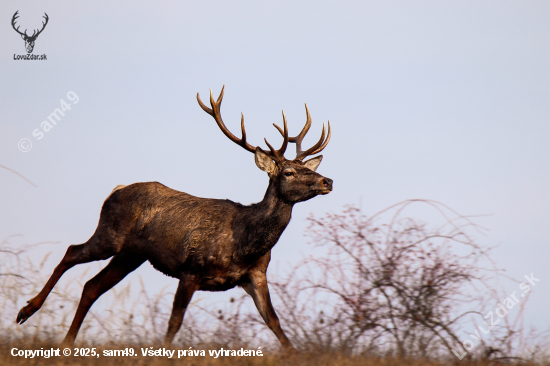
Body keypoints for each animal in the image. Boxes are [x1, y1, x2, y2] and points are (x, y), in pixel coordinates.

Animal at [17, 86, 334, 348]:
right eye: (288, 172)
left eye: (308, 168)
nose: (327, 180)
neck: (244, 243)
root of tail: (116, 190)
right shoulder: (190, 269)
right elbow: (175, 322)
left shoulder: (255, 275)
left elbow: (275, 323)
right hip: (110, 235)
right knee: (71, 252)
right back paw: (27, 310)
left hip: (131, 255)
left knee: (91, 286)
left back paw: (66, 342)